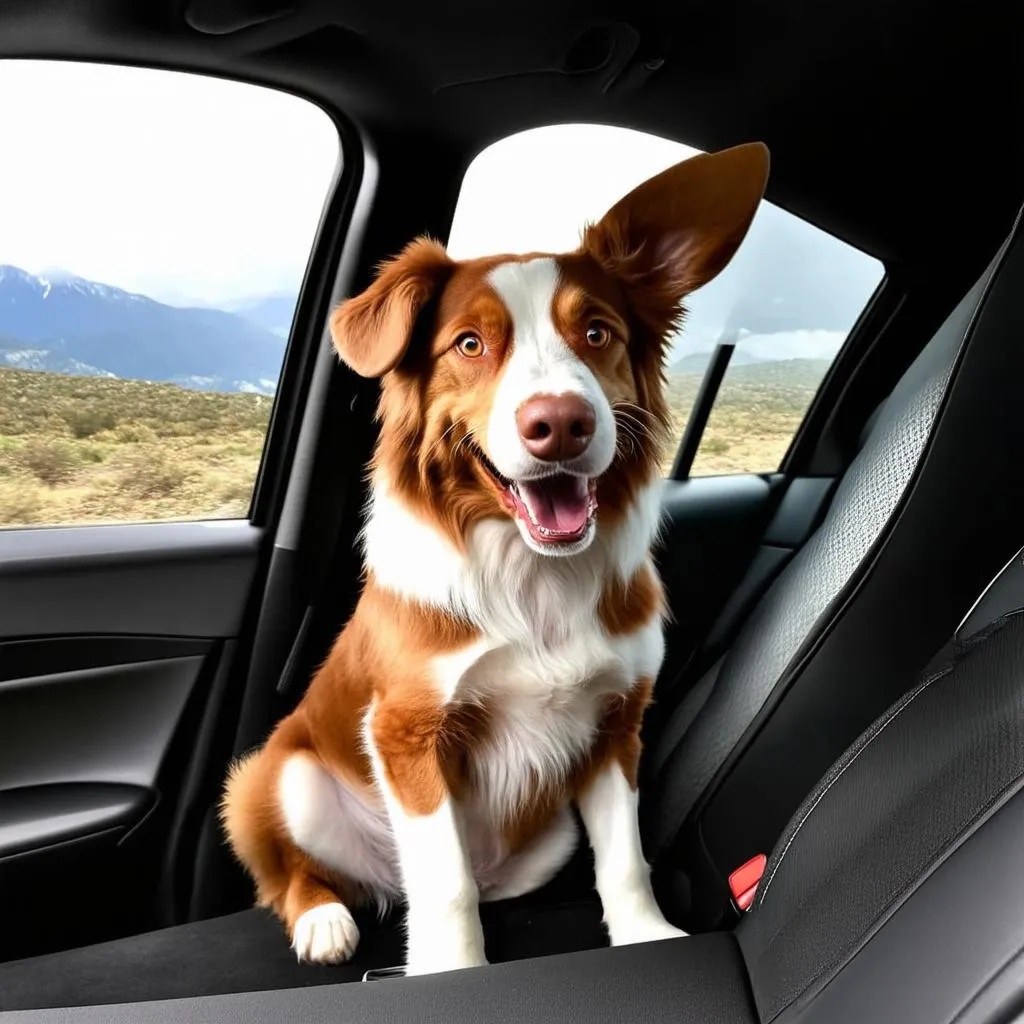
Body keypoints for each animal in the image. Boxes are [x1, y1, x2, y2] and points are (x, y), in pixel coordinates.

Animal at [222, 138, 770, 974]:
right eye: (471, 345)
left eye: (597, 334)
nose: (562, 424)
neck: (533, 574)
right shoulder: (406, 732)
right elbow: (444, 883)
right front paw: (452, 972)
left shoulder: (616, 725)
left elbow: (625, 858)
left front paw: (646, 937)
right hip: (274, 776)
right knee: (293, 869)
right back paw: (322, 917)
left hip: (547, 837)